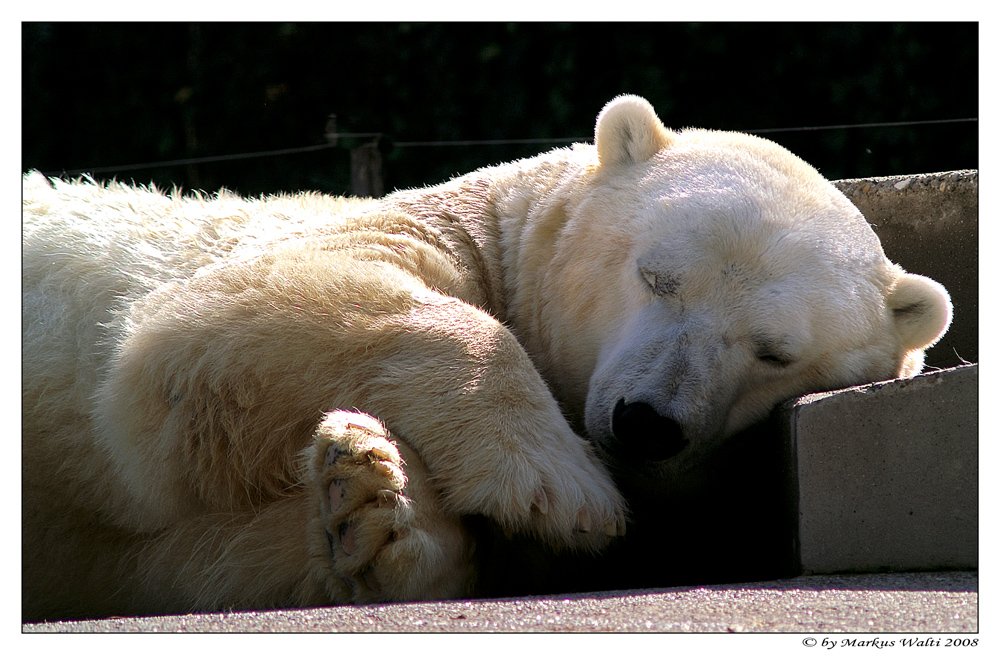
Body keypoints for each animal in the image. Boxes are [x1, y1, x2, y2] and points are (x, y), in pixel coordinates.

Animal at [19, 93, 948, 620]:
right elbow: (216, 317)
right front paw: (557, 480)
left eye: (774, 351)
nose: (646, 422)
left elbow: (198, 550)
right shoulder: (426, 233)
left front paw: (367, 501)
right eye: (657, 275)